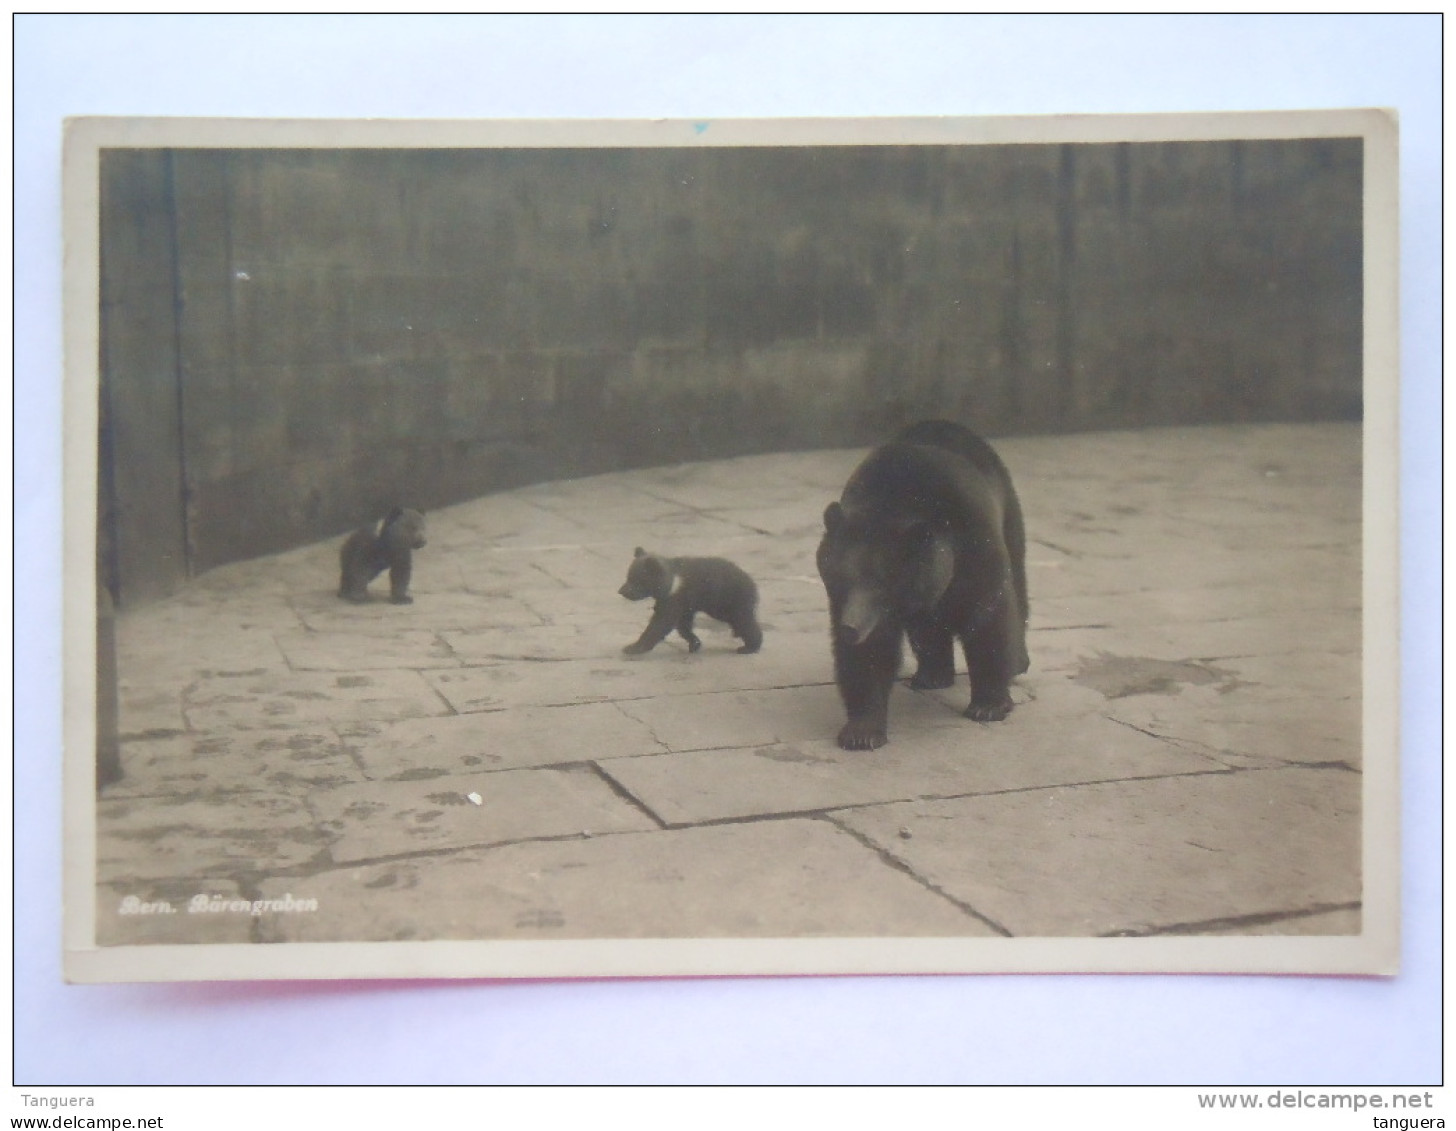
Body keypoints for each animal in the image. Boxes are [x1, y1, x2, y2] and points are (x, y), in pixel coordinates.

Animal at [815, 416, 1030, 751]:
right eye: (840, 579)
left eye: (881, 584)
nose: (851, 627)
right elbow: (870, 654)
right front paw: (862, 731)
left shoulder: (975, 542)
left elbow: (988, 618)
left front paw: (989, 705)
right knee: (928, 630)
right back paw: (932, 675)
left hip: (1008, 514)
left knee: (1018, 583)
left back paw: (1018, 661)